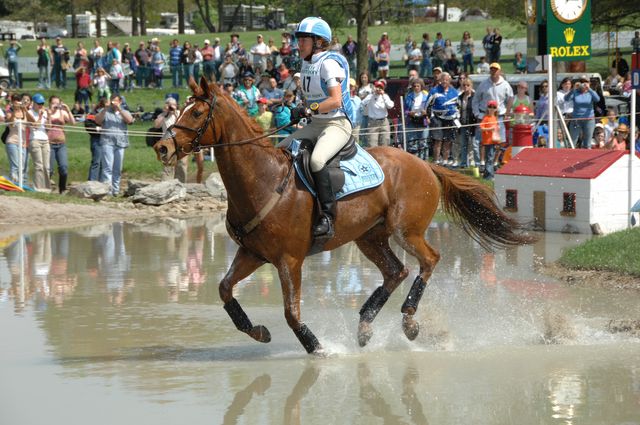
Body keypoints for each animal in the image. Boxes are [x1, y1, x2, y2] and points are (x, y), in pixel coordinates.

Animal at [152, 77, 532, 354]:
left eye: (196, 114)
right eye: (180, 110)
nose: (162, 147)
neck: (262, 178)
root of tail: (425, 163)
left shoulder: (289, 260)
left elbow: (291, 313)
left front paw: (318, 349)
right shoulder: (253, 253)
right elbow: (224, 289)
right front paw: (257, 331)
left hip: (406, 231)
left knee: (428, 260)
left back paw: (408, 322)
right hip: (369, 237)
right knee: (396, 271)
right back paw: (365, 326)